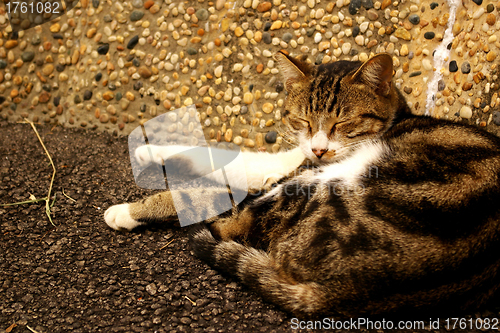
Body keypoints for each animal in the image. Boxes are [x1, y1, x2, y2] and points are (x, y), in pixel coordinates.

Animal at [103, 52, 500, 316]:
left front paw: (128, 211)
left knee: (227, 223)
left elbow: (201, 194)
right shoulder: (283, 162)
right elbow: (222, 157)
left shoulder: (288, 177)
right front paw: (150, 149)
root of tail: (349, 292)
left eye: (343, 124)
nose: (320, 148)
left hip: (321, 190)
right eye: (303, 121)